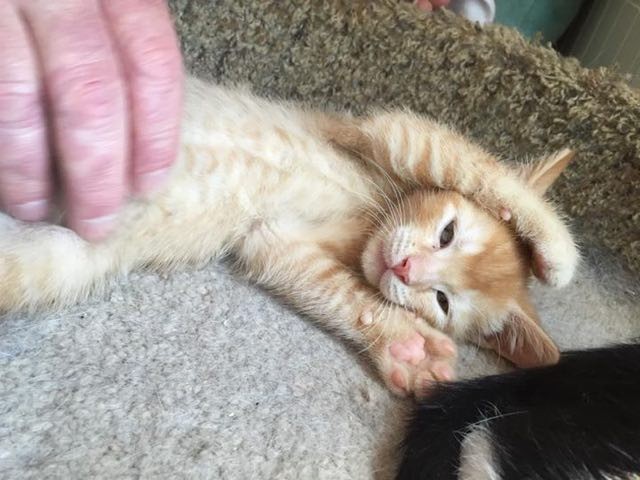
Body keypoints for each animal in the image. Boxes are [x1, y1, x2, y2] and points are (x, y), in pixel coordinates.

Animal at [0, 77, 580, 396]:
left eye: (441, 301)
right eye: (448, 232)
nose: (404, 269)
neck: (367, 221)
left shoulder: (275, 240)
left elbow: (334, 289)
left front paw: (404, 346)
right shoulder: (378, 130)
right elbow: (471, 165)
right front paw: (555, 248)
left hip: (54, 261)